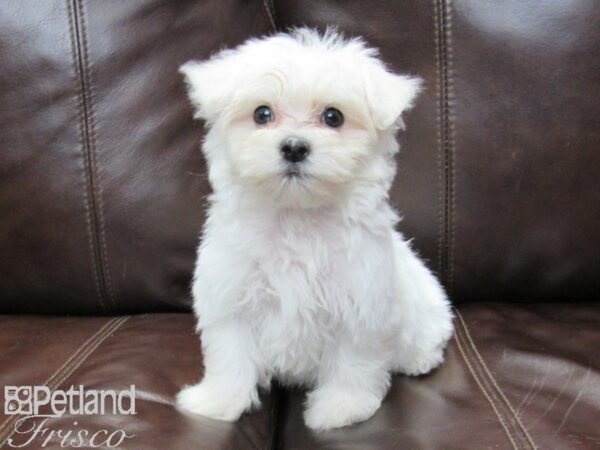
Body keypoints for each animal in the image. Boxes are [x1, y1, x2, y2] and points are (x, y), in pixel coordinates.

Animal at [176, 29, 452, 432]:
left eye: (333, 117)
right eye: (262, 114)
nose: (294, 147)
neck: (297, 217)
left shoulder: (361, 304)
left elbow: (354, 363)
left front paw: (341, 408)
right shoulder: (232, 297)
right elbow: (230, 356)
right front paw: (217, 401)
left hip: (429, 310)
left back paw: (418, 360)